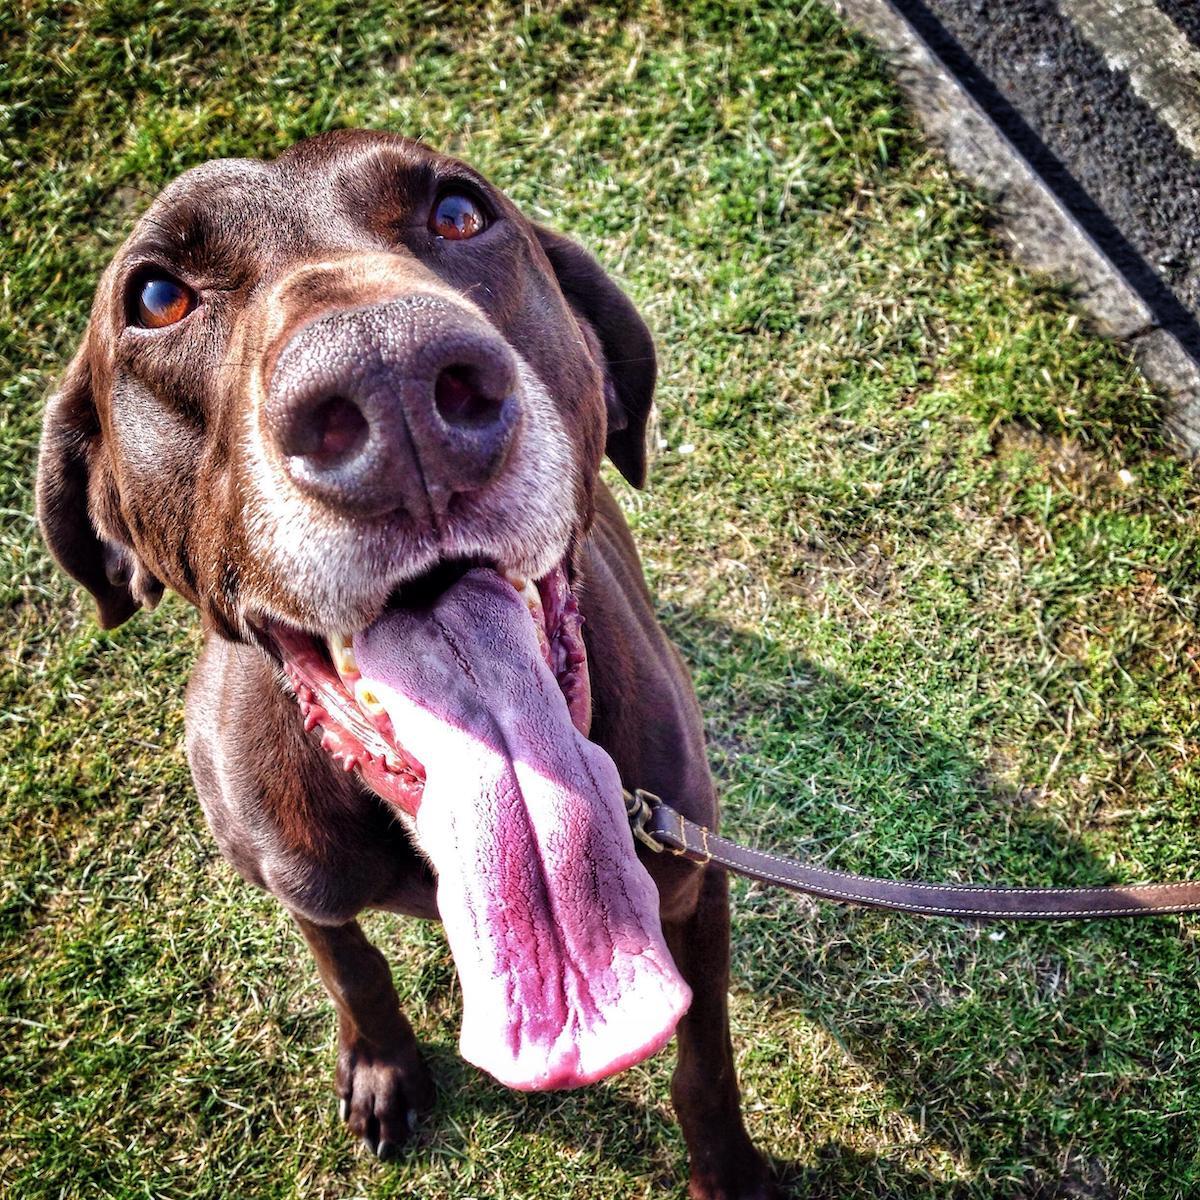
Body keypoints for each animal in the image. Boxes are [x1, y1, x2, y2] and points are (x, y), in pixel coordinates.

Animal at [37, 131, 772, 1200]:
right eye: (157, 296)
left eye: (459, 213)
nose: (392, 379)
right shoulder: (292, 876)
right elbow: (351, 966)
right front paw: (384, 1066)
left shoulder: (692, 881)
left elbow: (705, 1057)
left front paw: (730, 1170)